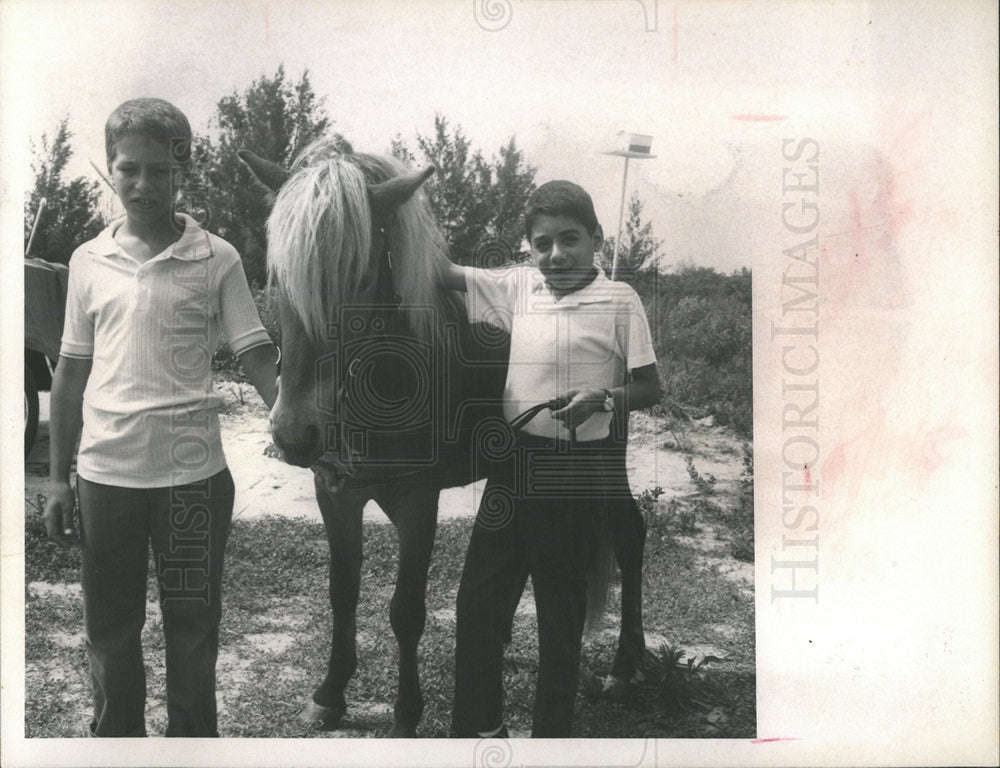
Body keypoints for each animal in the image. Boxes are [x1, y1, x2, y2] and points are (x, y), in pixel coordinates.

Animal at [239, 140, 644, 736]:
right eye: (277, 275)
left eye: (361, 275)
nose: (295, 434)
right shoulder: (335, 494)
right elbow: (342, 593)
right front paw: (330, 693)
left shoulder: (417, 501)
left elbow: (406, 610)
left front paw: (406, 714)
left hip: (605, 462)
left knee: (631, 537)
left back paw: (624, 667)